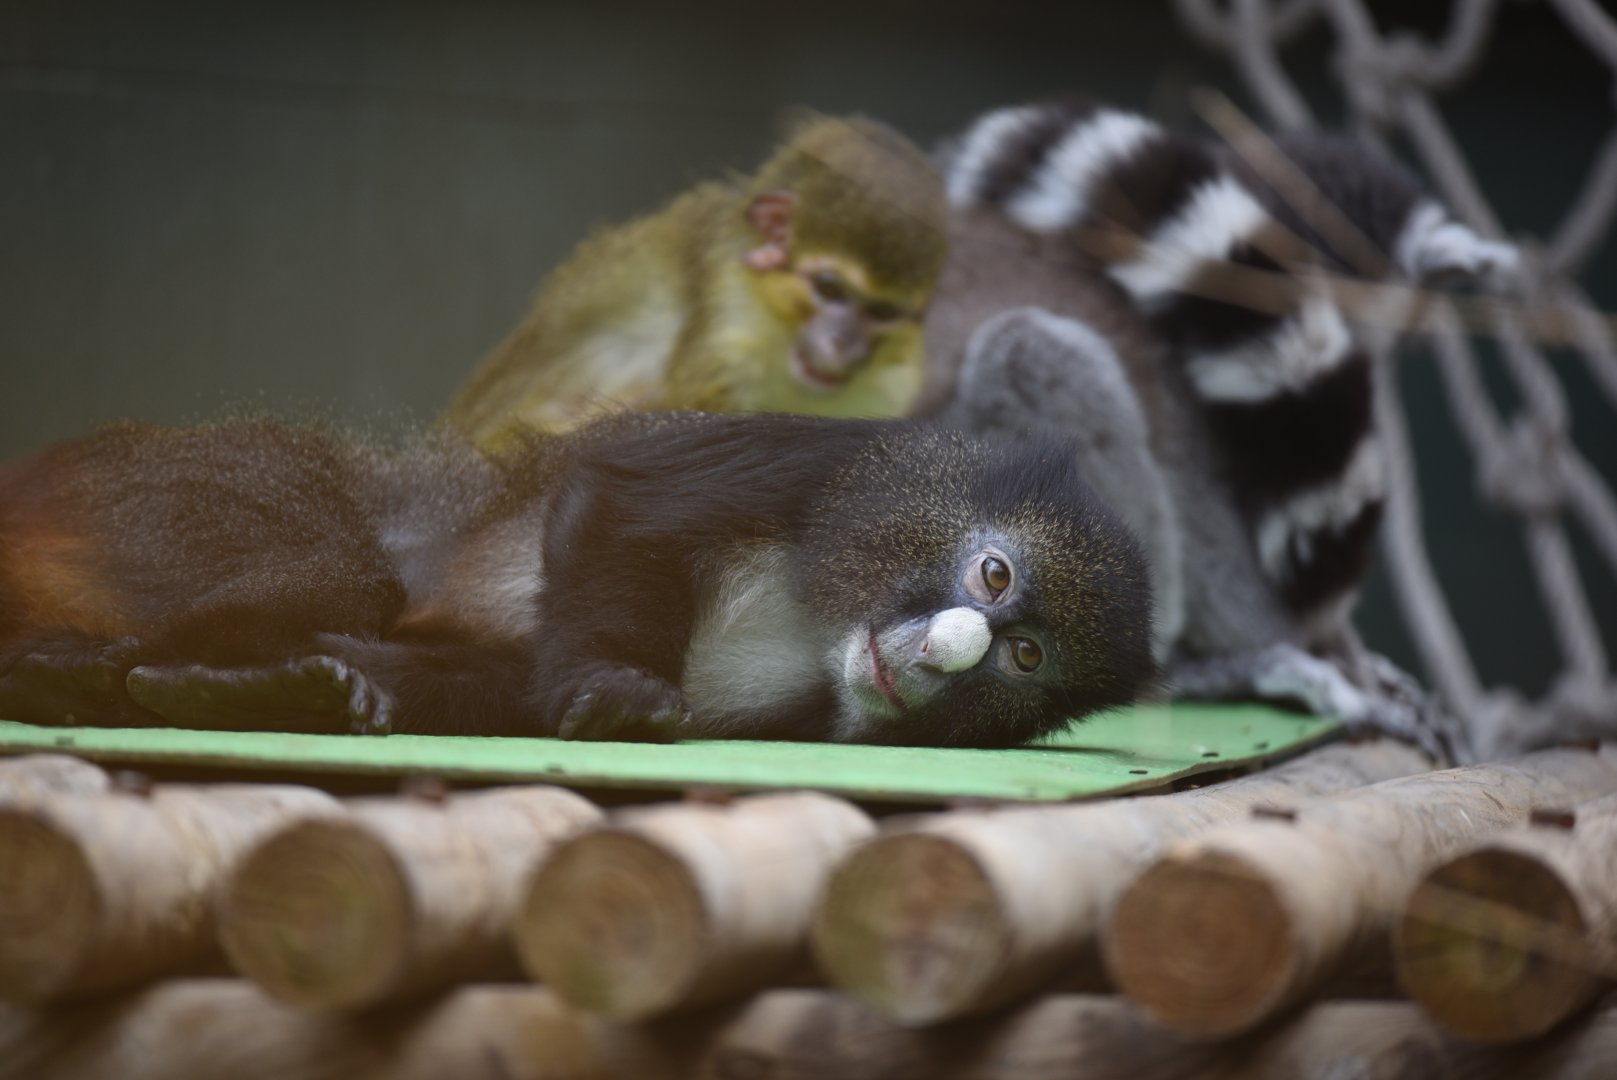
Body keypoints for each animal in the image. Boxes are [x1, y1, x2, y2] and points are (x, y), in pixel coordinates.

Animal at [0, 411, 1156, 748]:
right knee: (346, 573)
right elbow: (621, 499)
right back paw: (62, 675)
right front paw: (614, 689)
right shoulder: (807, 459)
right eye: (992, 573)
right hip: (164, 492)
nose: (946, 653)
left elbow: (513, 686)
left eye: (1024, 656)